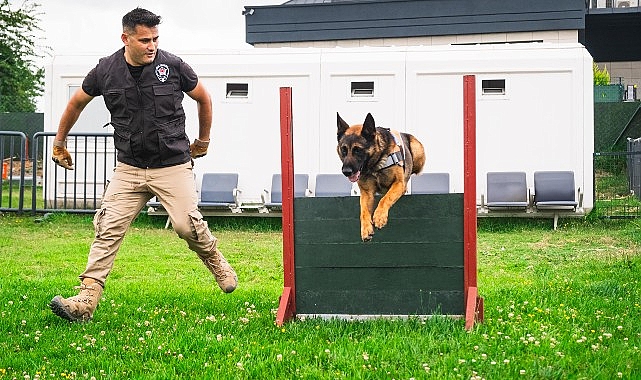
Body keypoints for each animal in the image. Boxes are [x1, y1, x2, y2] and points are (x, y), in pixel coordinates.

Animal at [336, 113, 424, 242]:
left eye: (358, 150)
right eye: (344, 149)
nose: (346, 172)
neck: (375, 167)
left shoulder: (399, 183)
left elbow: (386, 198)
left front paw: (379, 216)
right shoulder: (366, 193)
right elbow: (363, 211)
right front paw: (366, 229)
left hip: (418, 152)